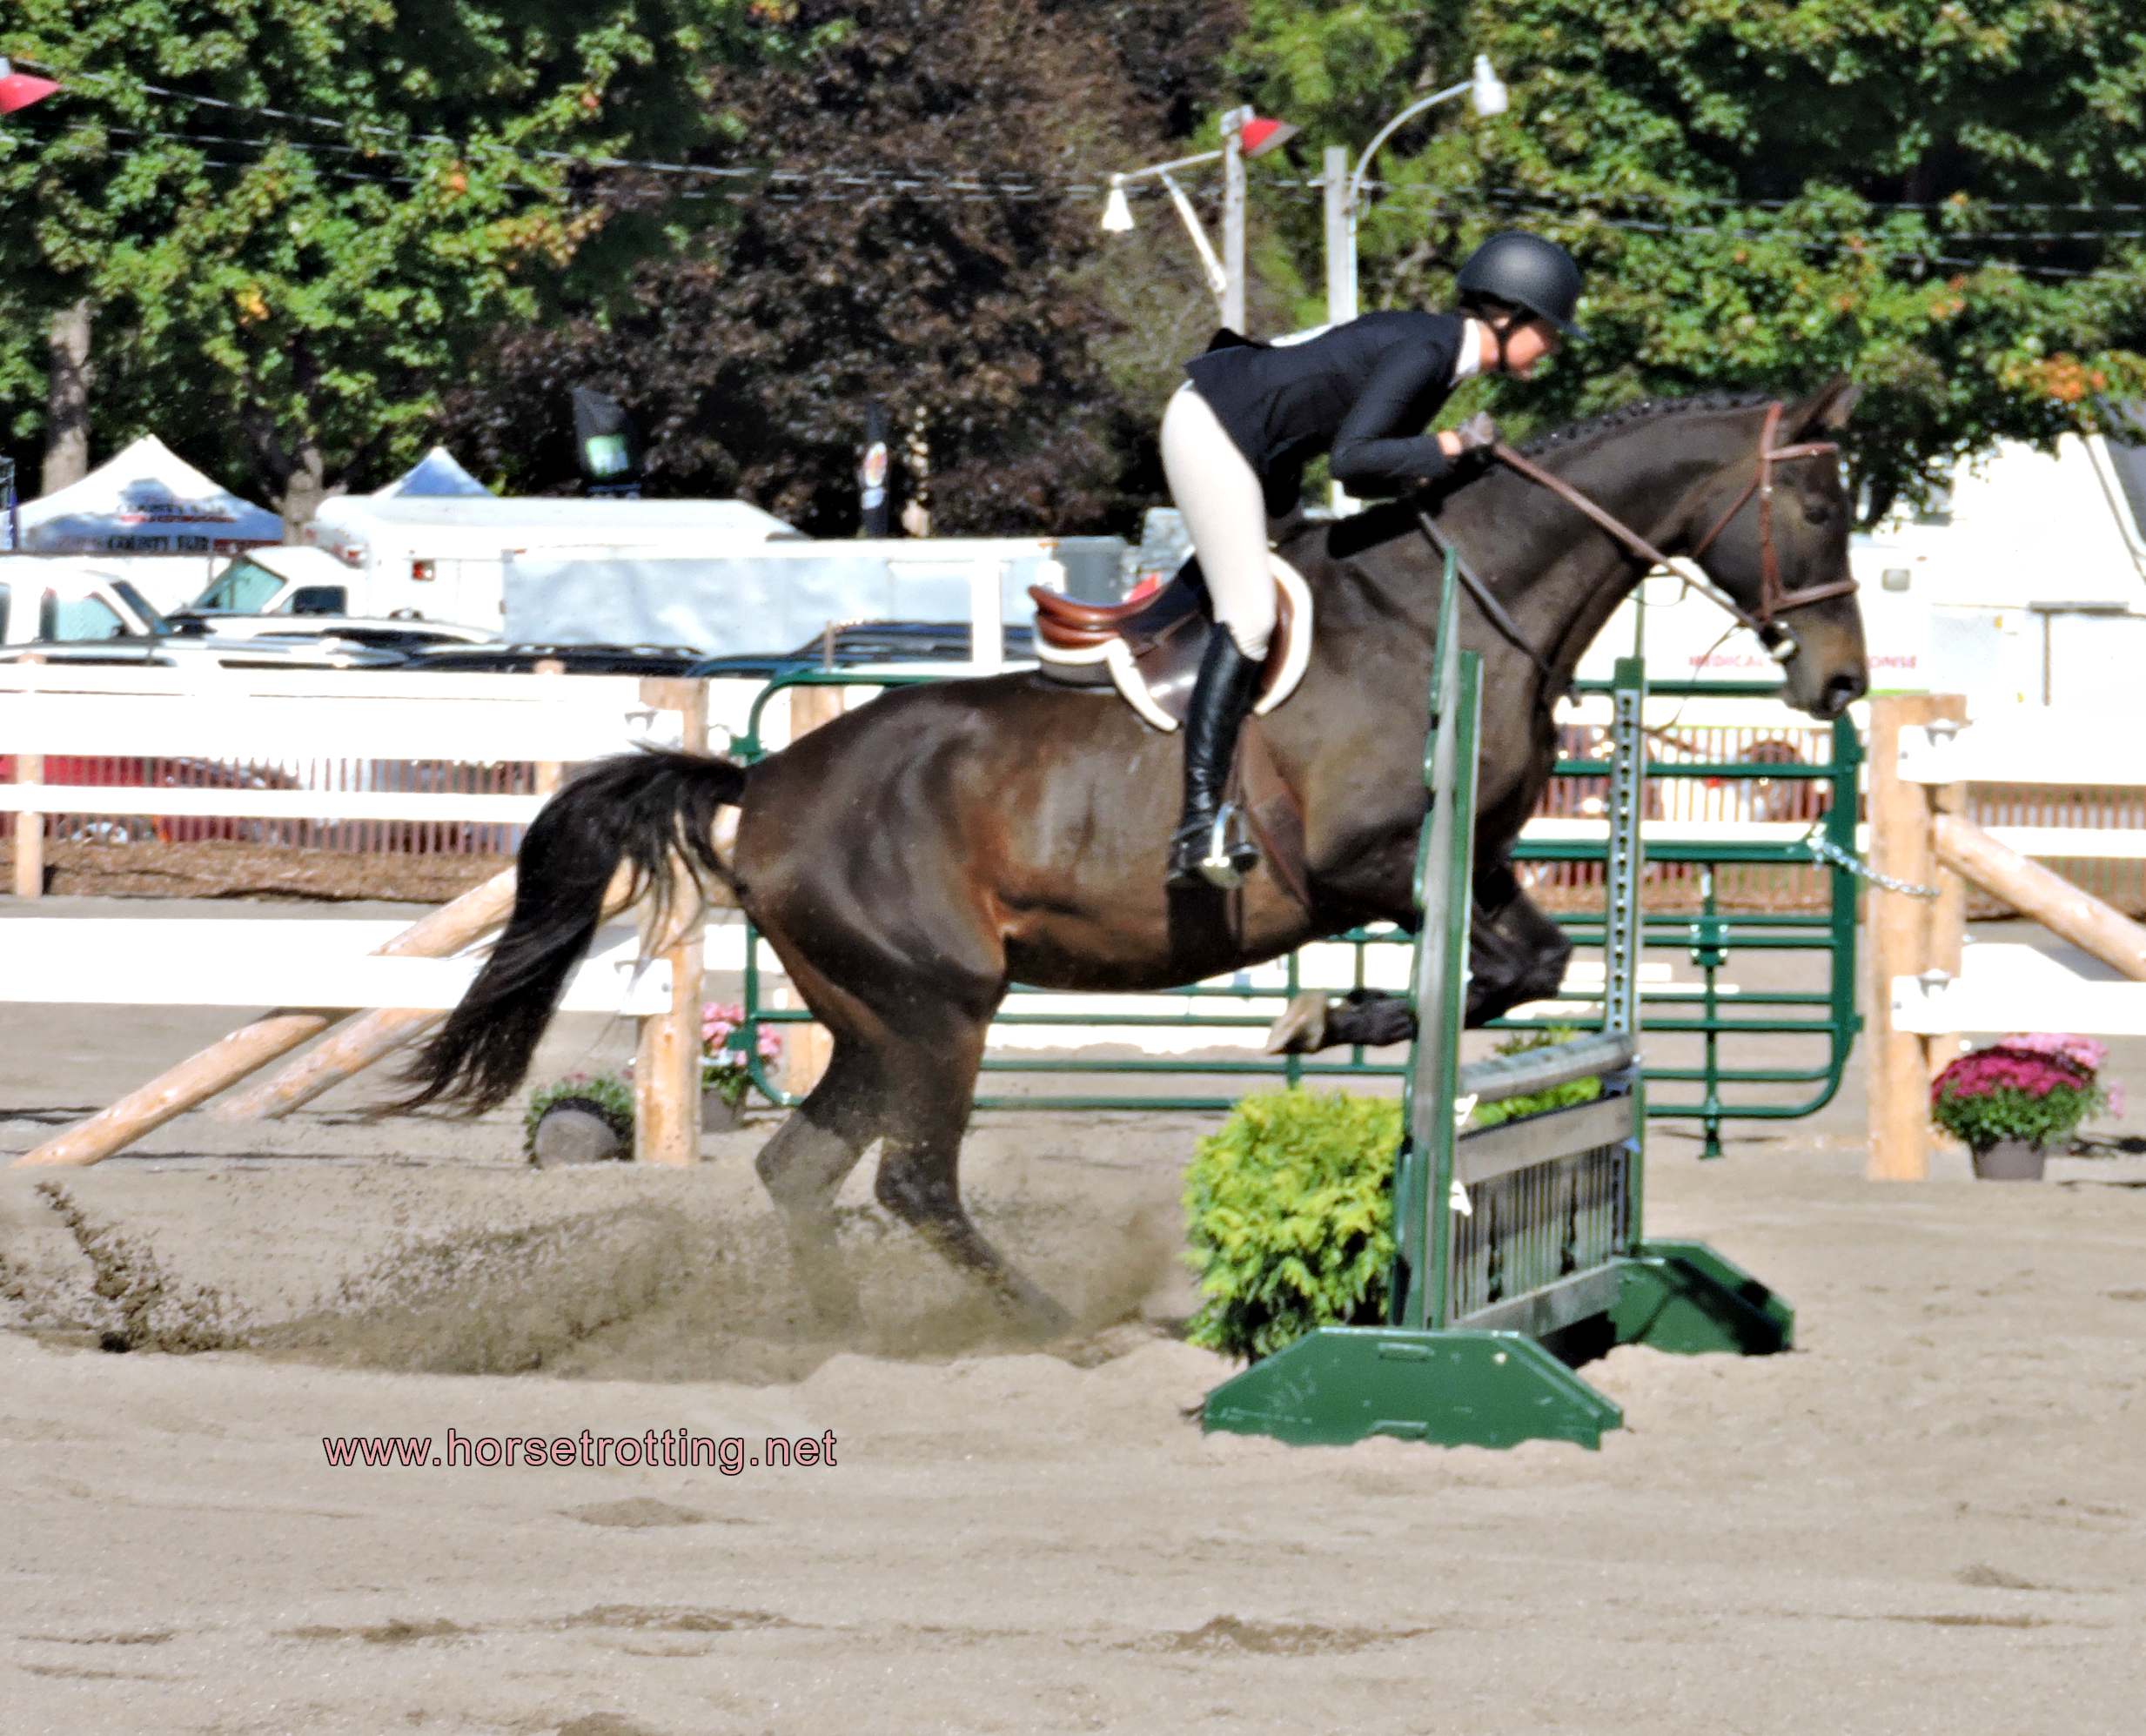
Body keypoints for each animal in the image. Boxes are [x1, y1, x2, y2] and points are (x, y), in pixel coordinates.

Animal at [398, 378, 1869, 1331]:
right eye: (1815, 508)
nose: (1842, 680)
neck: (1456, 608)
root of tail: (761, 789)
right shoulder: (1372, 862)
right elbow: (1493, 971)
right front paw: (1320, 1017)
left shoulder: (1476, 862)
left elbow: (1536, 964)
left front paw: (1331, 1019)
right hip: (937, 1008)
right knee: (913, 1178)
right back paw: (1046, 1321)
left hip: (875, 1018)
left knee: (804, 1171)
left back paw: (838, 1328)